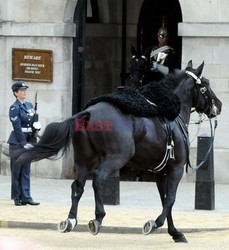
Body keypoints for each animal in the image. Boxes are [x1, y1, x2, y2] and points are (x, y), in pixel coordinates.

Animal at [10, 60, 222, 242]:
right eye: (206, 84)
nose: (218, 106)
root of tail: (89, 112)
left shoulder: (160, 173)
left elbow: (165, 202)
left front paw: (175, 233)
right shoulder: (175, 169)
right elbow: (170, 200)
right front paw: (155, 224)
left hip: (84, 161)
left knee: (77, 186)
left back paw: (70, 220)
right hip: (116, 158)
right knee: (98, 179)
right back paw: (98, 217)